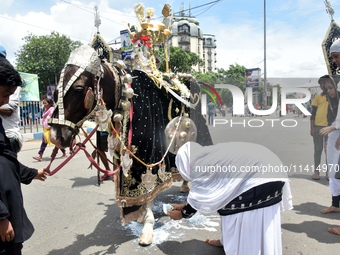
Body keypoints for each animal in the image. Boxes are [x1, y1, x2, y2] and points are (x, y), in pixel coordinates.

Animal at [49, 2, 211, 246]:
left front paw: (148, 226)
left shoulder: (150, 156)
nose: (57, 136)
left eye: (78, 89)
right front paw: (139, 215)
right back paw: (183, 185)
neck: (125, 95)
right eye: (55, 91)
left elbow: (150, 188)